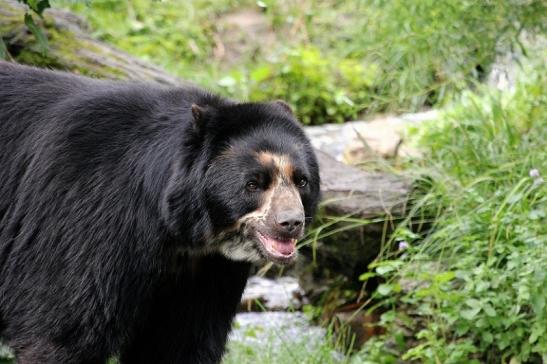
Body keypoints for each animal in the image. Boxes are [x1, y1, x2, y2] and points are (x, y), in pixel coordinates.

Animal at [0, 61, 322, 362]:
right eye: (254, 184)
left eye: (301, 180)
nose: (290, 222)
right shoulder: (82, 222)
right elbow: (65, 330)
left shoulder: (207, 272)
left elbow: (177, 344)